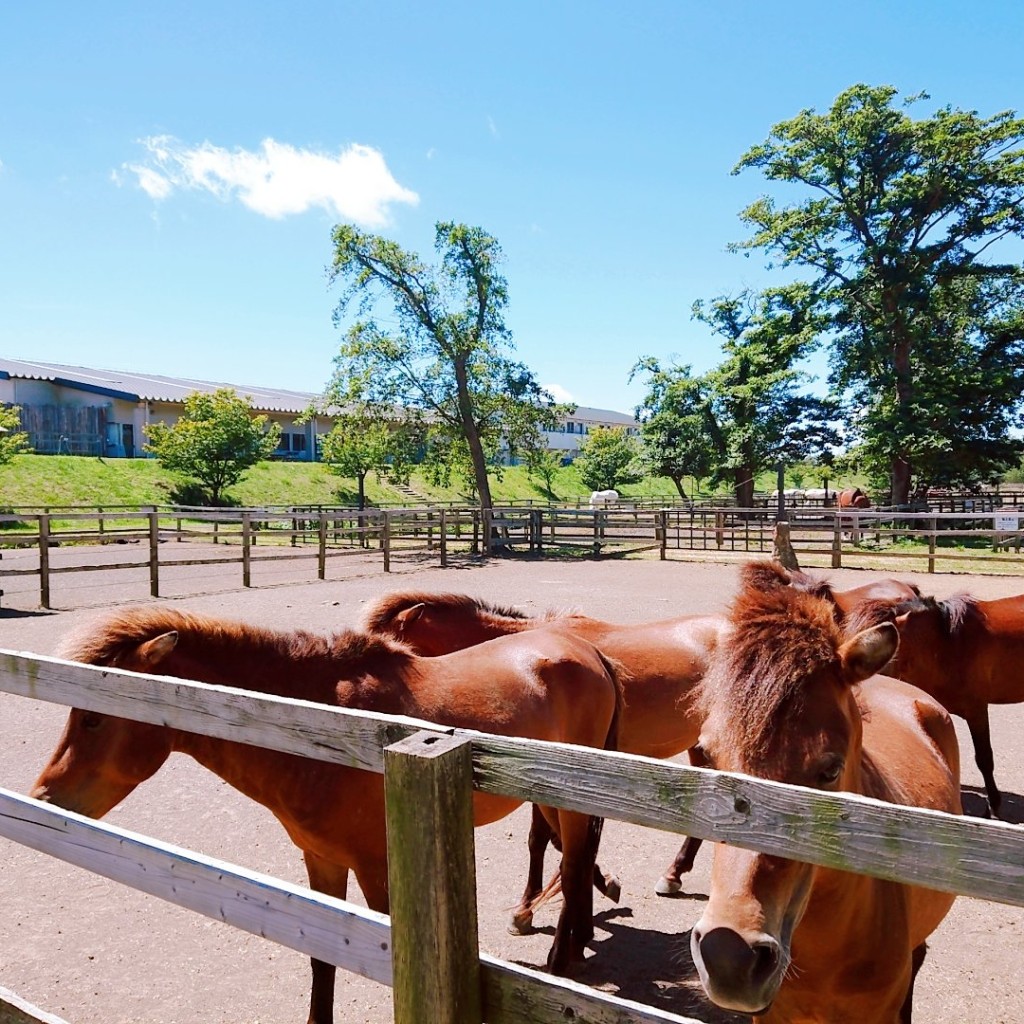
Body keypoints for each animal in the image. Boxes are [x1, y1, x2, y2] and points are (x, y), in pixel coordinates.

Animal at [32, 606, 618, 1024]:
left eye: (92, 718)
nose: (44, 795)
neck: (318, 729)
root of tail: (589, 652)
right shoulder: (323, 860)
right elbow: (321, 952)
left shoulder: (379, 870)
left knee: (572, 862)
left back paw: (562, 962)